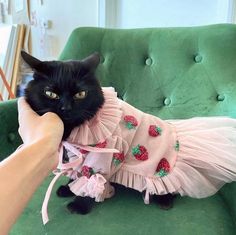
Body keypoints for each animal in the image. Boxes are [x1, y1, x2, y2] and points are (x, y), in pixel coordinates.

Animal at [20, 51, 175, 215]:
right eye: (50, 93)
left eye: (80, 94)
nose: (66, 108)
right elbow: (78, 174)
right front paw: (69, 189)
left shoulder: (102, 155)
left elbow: (90, 179)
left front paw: (79, 205)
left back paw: (165, 201)